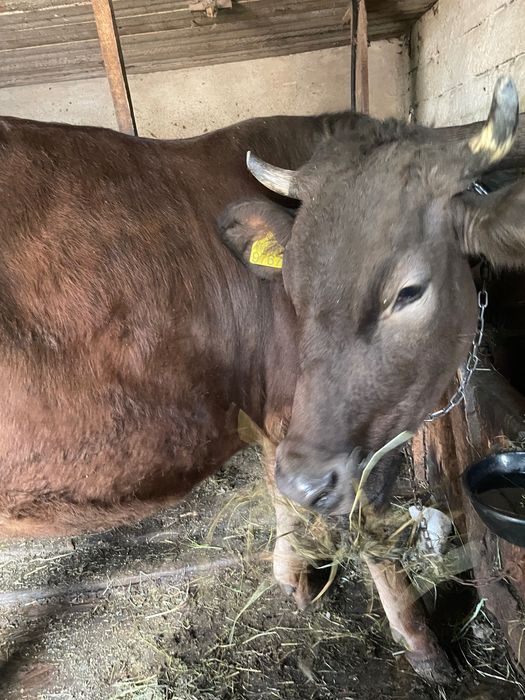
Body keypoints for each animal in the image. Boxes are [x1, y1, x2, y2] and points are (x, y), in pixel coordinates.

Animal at [0, 76, 522, 684]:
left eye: (409, 291)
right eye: (292, 287)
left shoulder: (293, 431)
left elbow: (282, 493)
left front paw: (293, 578)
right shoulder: (321, 434)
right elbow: (362, 526)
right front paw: (422, 645)